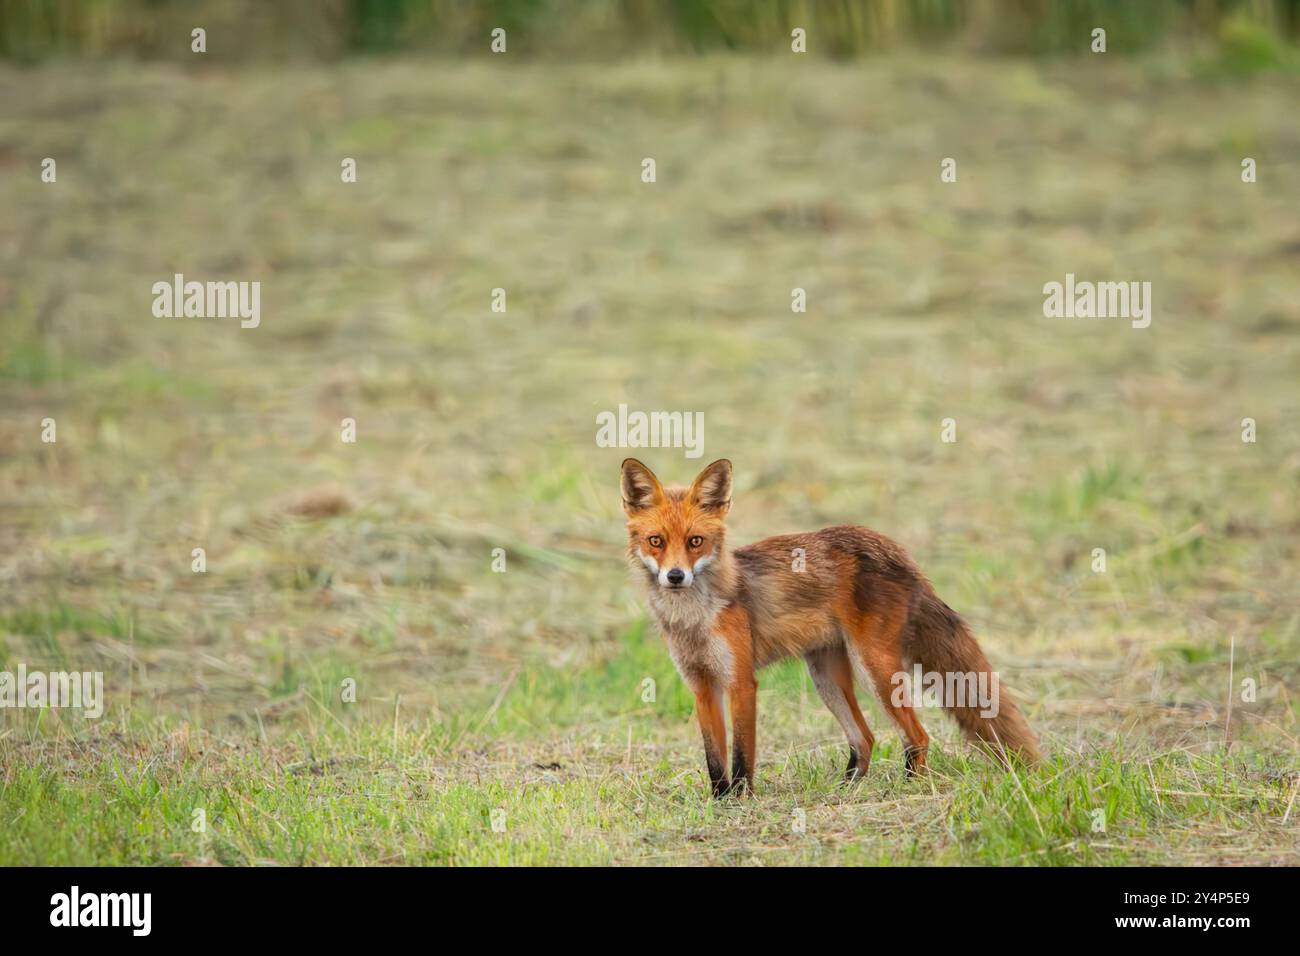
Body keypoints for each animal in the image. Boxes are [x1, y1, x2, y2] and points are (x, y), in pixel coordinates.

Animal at [621, 460, 1045, 796]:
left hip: (875, 669)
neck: (692, 619)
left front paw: (741, 800)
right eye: (656, 541)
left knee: (917, 735)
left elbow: (741, 755)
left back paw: (908, 787)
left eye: (696, 541)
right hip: (826, 675)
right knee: (866, 737)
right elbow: (714, 759)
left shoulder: (740, 681)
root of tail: (898, 551)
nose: (676, 577)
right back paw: (847, 788)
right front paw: (720, 801)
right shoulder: (702, 684)